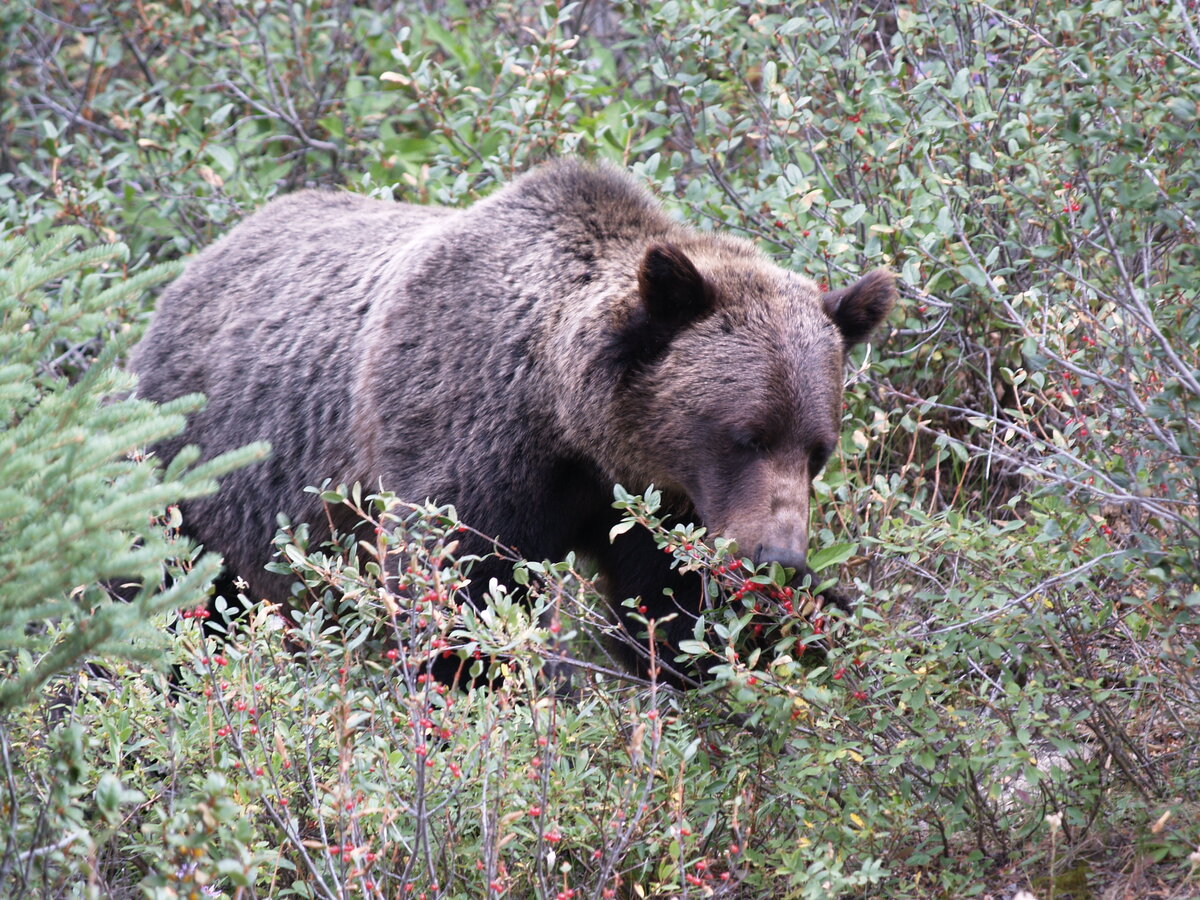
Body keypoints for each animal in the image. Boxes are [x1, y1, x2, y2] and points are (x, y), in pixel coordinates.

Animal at [131, 162, 892, 681]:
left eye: (818, 450)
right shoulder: (463, 433)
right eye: (745, 435)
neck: (567, 424)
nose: (778, 556)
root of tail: (194, 268)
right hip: (191, 479)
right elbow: (458, 587)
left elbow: (670, 610)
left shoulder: (658, 506)